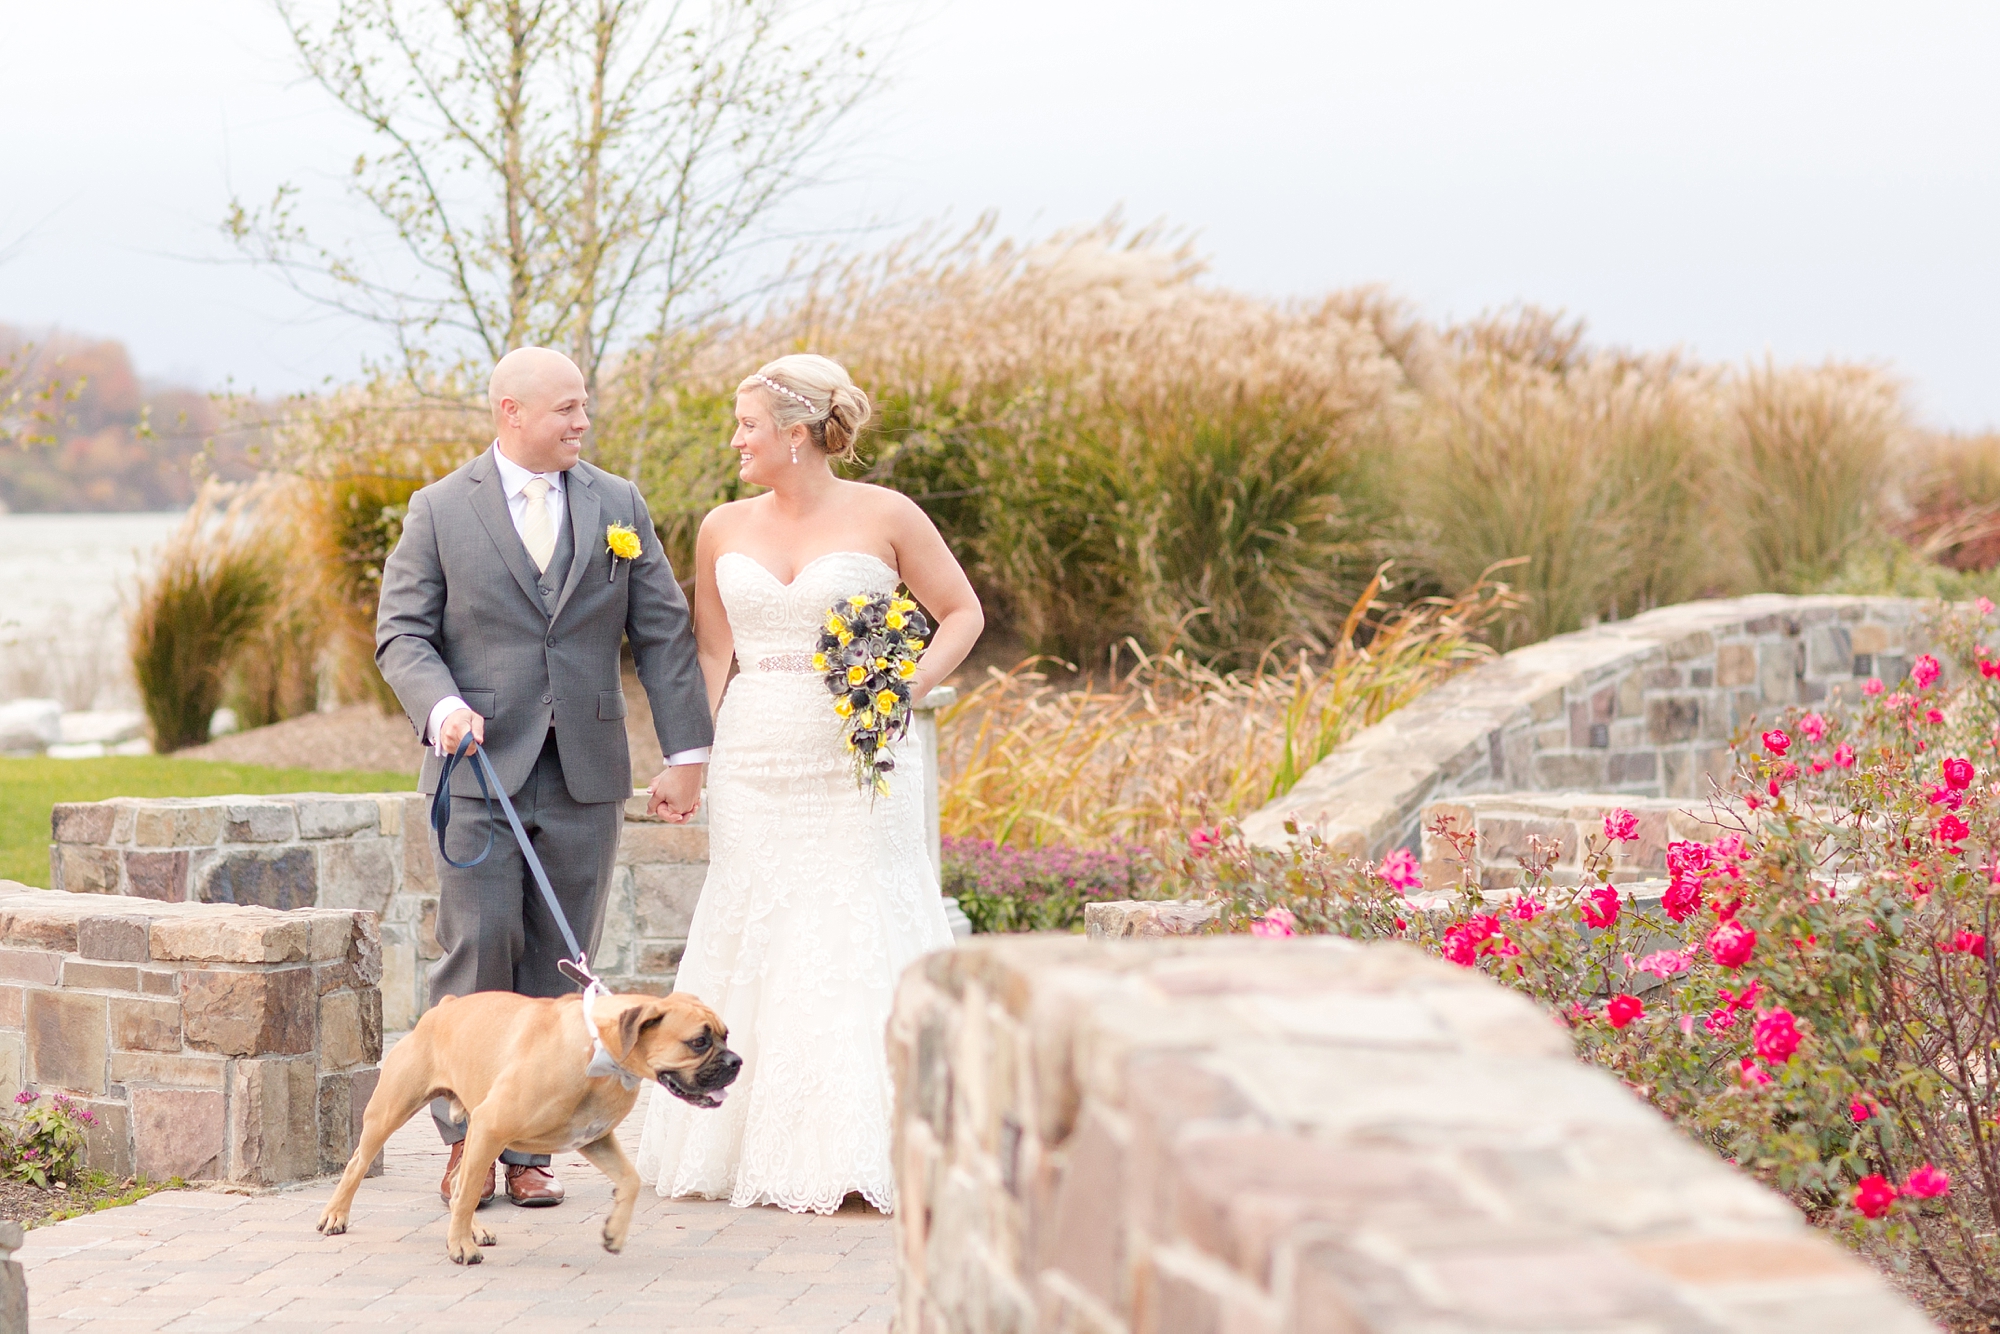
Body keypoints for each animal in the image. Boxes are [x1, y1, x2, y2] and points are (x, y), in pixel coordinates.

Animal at [316, 992, 740, 1264]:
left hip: (473, 1130)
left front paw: (615, 1232)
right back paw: (336, 1216)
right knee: (359, 1165)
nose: (736, 1061)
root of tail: (444, 1006)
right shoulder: (492, 1126)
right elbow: (468, 1195)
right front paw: (460, 1247)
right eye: (699, 1041)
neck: (597, 1049)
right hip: (392, 1113)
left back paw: (471, 1228)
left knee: (458, 1184)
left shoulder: (595, 1139)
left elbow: (631, 1180)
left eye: (725, 1035)